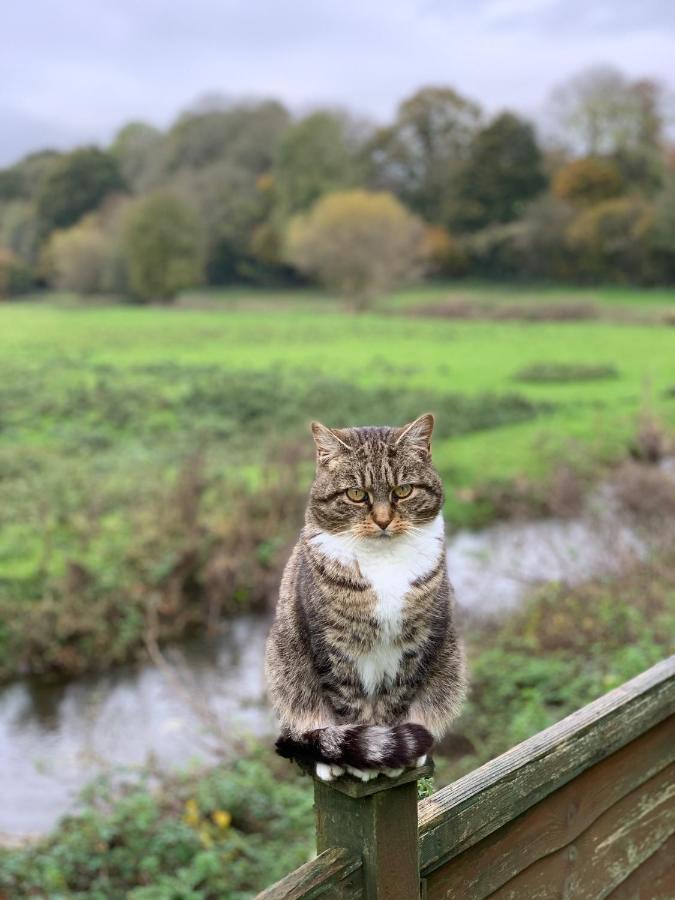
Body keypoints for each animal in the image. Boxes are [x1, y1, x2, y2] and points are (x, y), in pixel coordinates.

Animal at [264, 414, 464, 780]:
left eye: (403, 490)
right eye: (357, 494)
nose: (383, 520)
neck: (383, 561)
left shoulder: (416, 644)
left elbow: (395, 702)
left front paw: (389, 753)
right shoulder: (333, 646)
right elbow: (349, 705)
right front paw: (361, 761)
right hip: (284, 668)